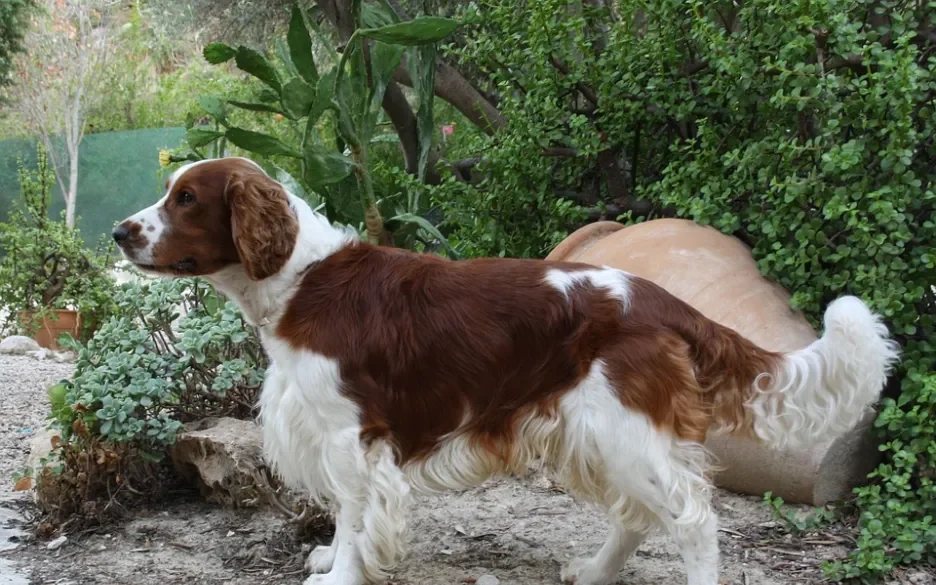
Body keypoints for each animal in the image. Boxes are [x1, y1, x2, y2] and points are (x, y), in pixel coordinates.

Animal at [117, 156, 900, 584]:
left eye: (186, 199)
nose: (122, 231)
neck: (301, 279)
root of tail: (661, 298)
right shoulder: (339, 438)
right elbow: (346, 516)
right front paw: (334, 557)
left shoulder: (350, 437)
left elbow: (355, 517)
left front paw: (342, 570)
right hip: (601, 434)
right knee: (640, 514)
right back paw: (594, 571)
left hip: (621, 429)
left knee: (692, 517)